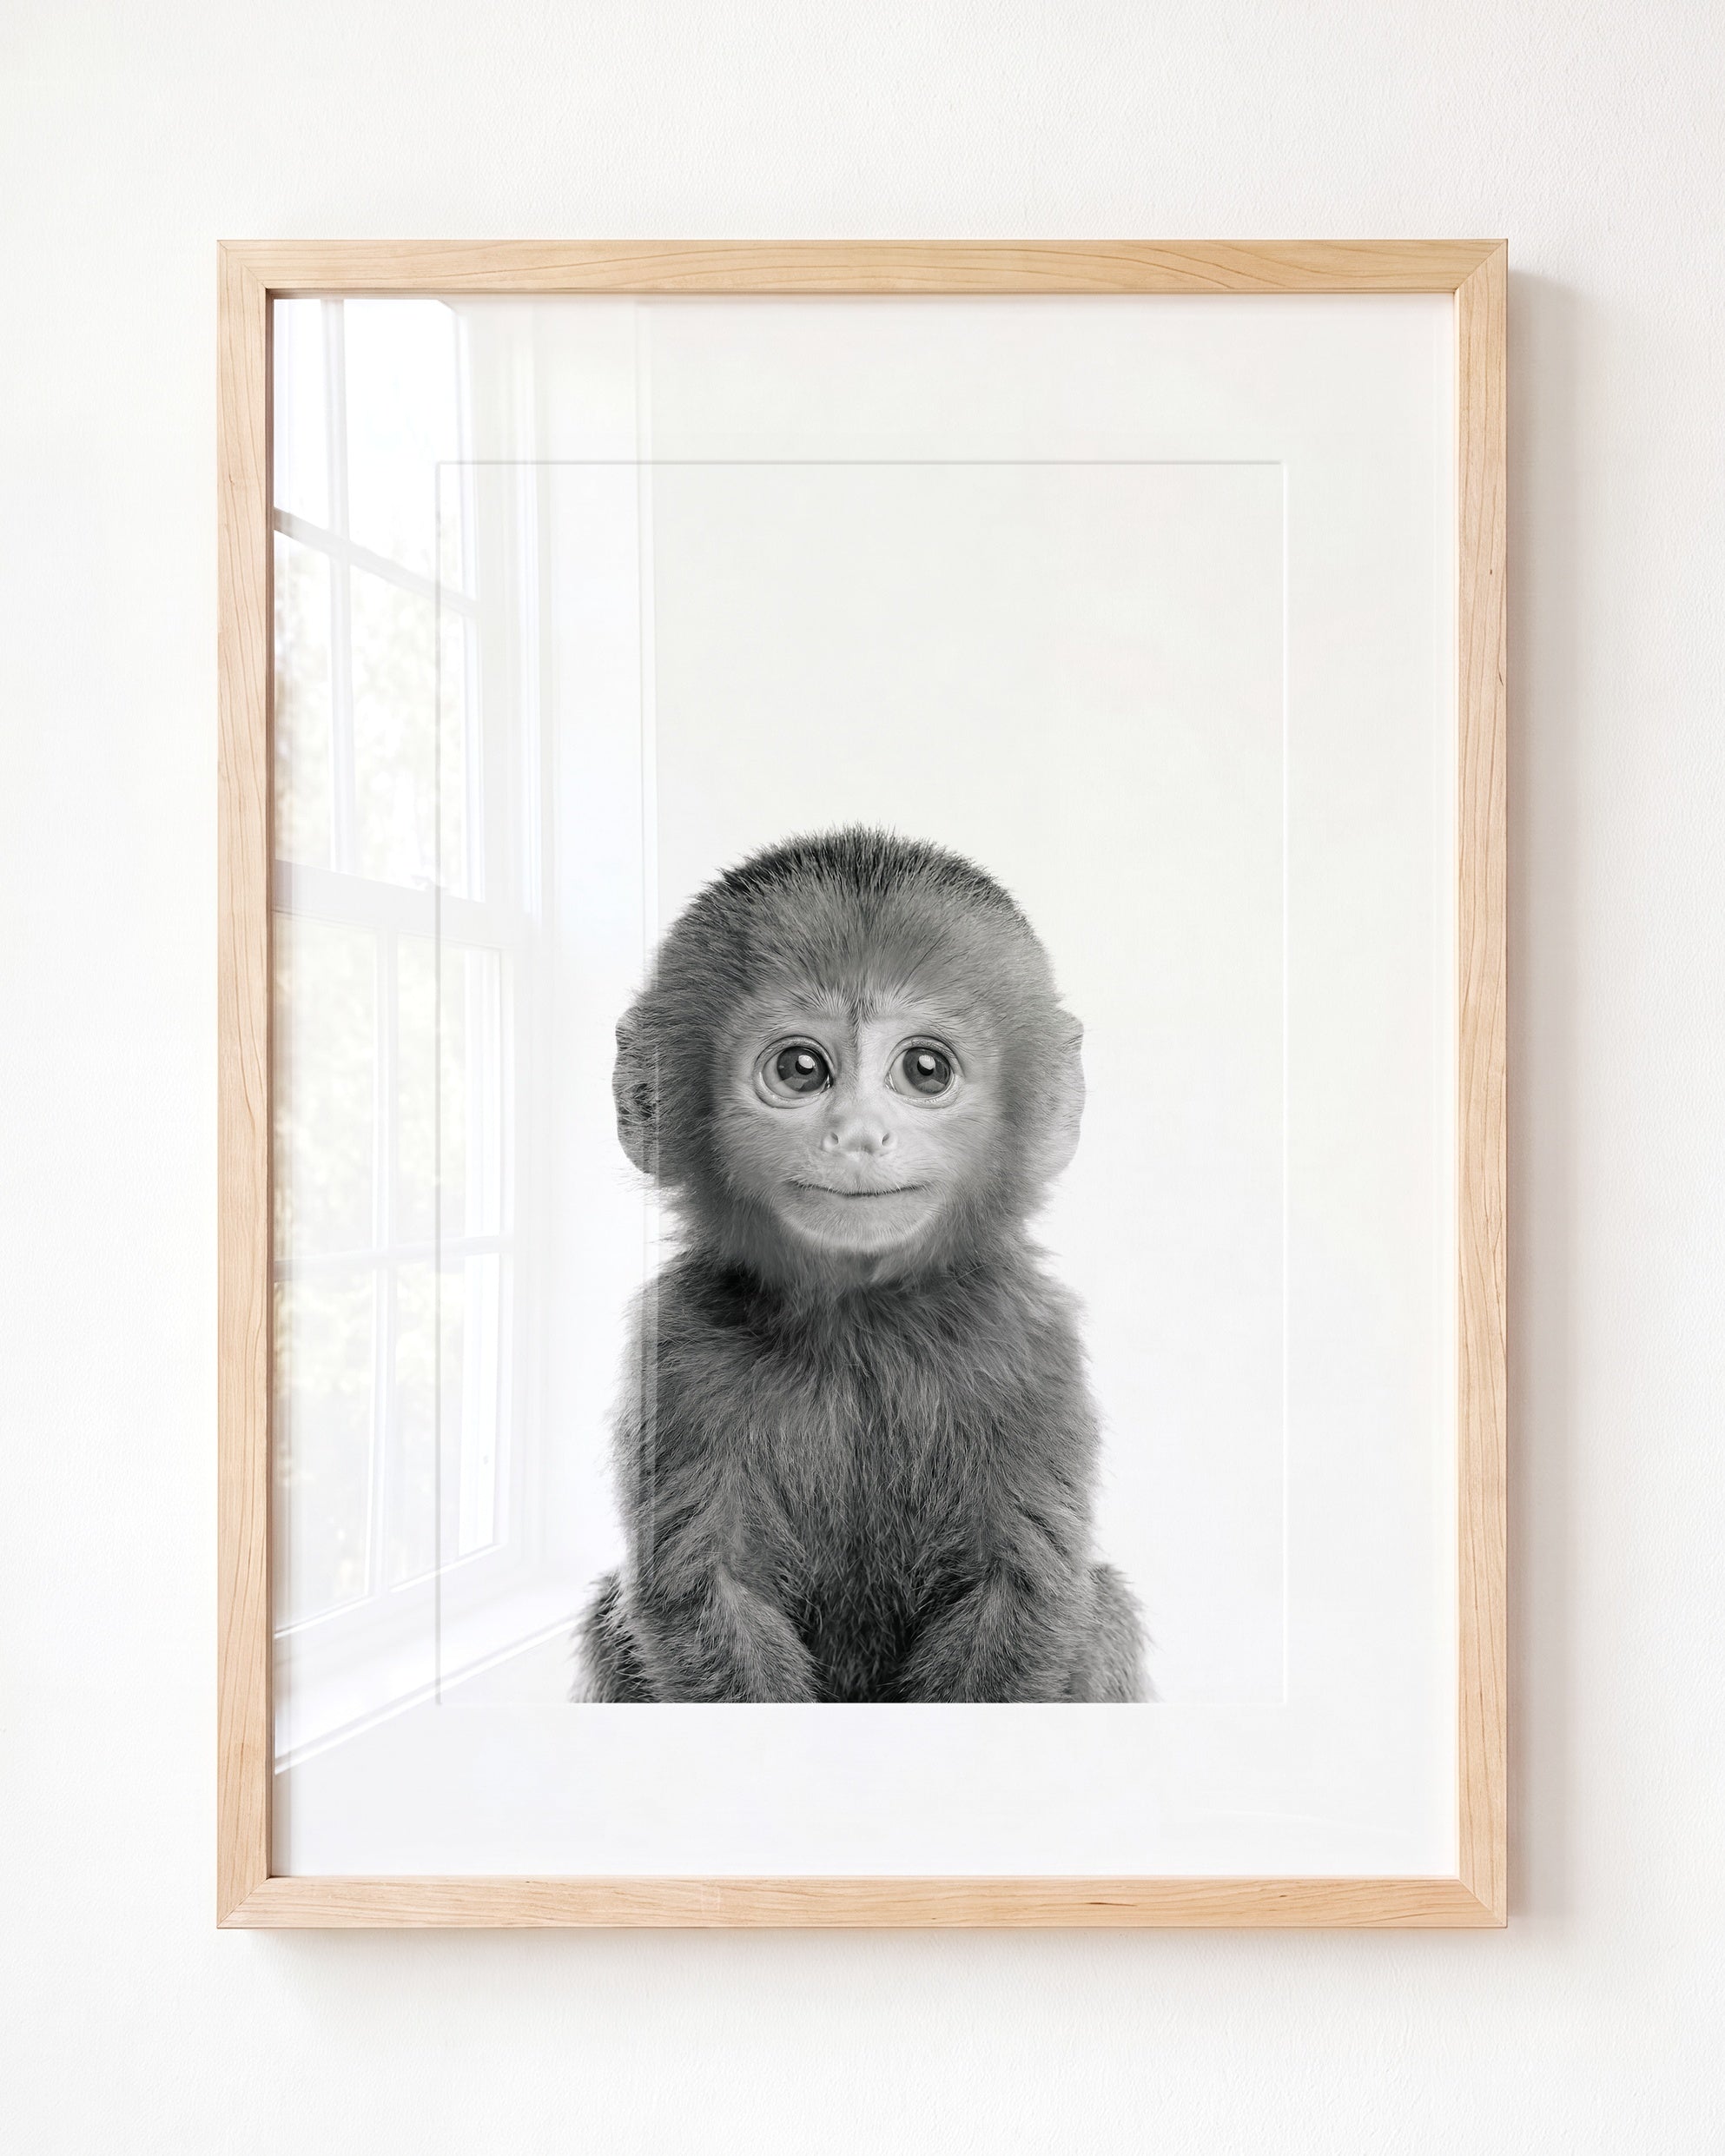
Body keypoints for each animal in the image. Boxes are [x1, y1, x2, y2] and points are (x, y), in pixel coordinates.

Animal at [575, 826, 1144, 1703]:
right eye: (801, 1069)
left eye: (925, 1070)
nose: (859, 1135)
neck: (861, 1324)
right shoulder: (675, 1352)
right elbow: (703, 1593)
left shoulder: (1030, 1343)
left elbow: (1021, 1590)